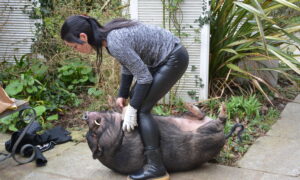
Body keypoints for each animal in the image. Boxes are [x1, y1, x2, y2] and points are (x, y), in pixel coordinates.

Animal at [83, 102, 226, 175]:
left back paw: (188, 104)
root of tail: (224, 136)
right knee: (219, 119)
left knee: (201, 114)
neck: (117, 141)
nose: (84, 115)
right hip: (207, 131)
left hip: (188, 117)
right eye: (93, 134)